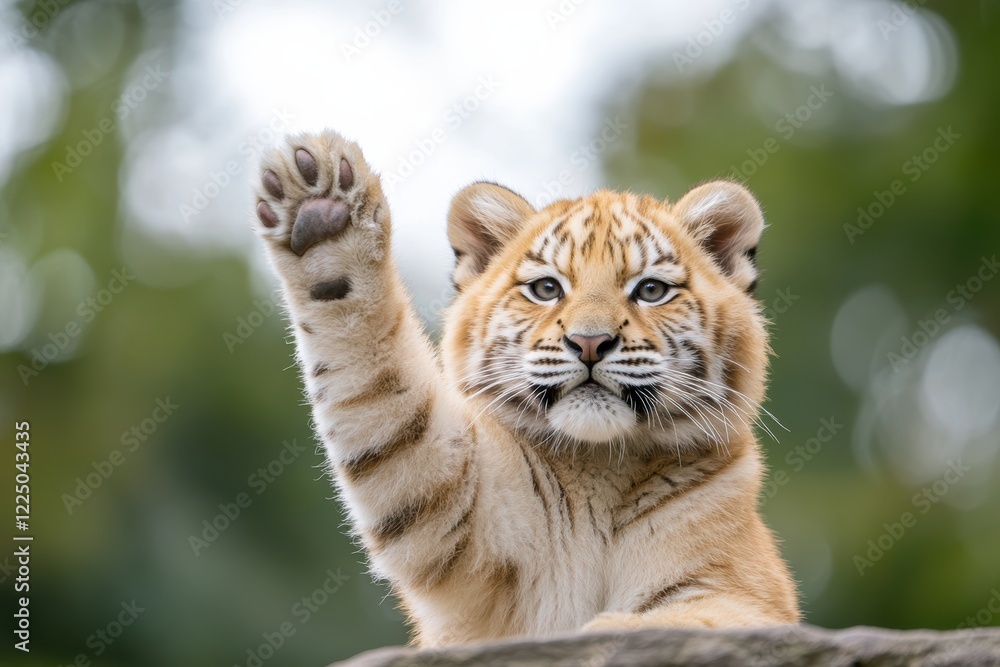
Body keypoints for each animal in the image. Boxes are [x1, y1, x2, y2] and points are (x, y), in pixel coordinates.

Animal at [252, 129, 799, 647]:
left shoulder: (745, 596)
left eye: (650, 290)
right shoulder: (452, 503)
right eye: (547, 288)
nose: (590, 342)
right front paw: (321, 207)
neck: (602, 467)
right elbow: (381, 382)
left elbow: (690, 623)